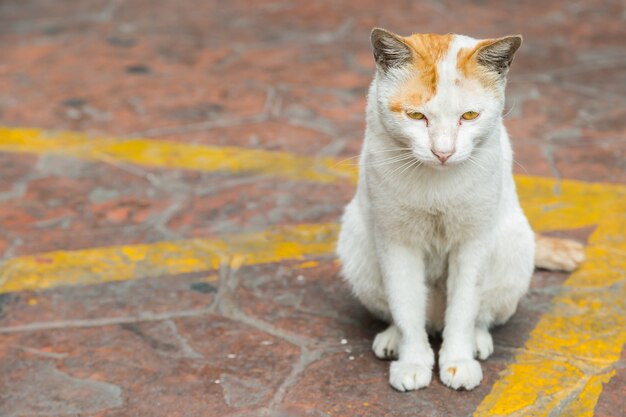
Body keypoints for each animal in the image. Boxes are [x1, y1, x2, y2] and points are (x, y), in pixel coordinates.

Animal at [334, 28, 584, 390]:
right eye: (416, 116)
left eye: (469, 116)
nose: (443, 152)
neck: (437, 183)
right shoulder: (397, 243)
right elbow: (406, 305)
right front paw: (412, 361)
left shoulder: (473, 243)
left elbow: (464, 309)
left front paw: (458, 361)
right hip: (357, 244)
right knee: (403, 312)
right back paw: (393, 339)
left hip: (512, 249)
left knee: (480, 314)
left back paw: (477, 341)